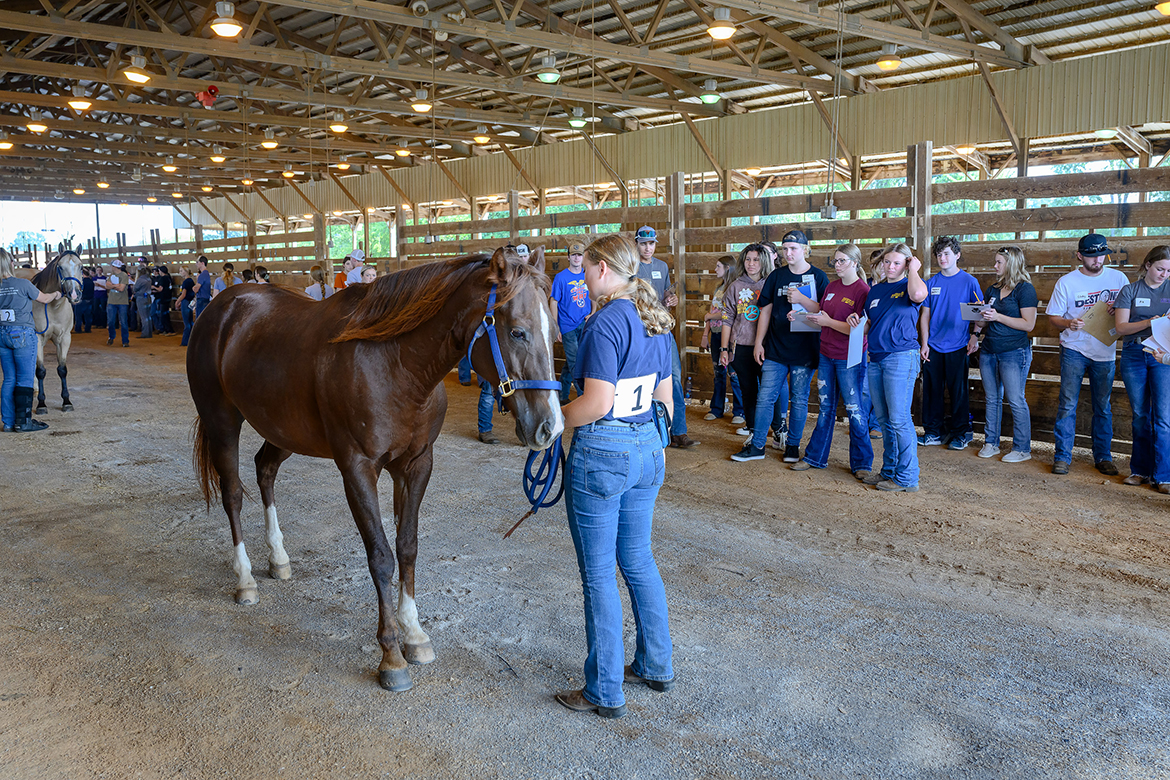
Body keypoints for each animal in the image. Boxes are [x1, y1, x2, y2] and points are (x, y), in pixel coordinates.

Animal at [30, 247, 84, 414]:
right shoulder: (37, 339)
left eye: (81, 266)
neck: (53, 307)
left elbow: (62, 369)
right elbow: (41, 371)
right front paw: (41, 404)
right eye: (60, 267)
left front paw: (66, 401)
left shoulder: (64, 339)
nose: (74, 294)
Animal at [187, 246, 564, 692]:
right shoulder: (357, 469)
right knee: (232, 494)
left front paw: (415, 634)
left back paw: (278, 558)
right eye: (518, 332)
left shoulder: (416, 466)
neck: (395, 364)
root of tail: (222, 305)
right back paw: (245, 580)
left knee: (265, 470)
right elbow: (381, 556)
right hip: (222, 423)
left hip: (282, 430)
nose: (551, 427)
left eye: (554, 332)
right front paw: (391, 657)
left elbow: (408, 546)